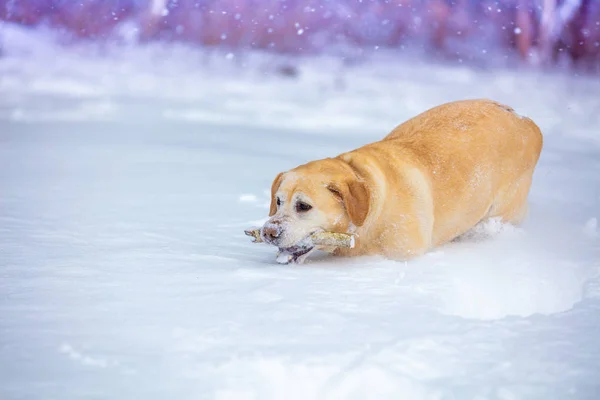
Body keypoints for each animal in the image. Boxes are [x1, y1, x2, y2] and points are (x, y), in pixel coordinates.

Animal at [260, 99, 540, 264]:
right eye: (278, 201)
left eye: (303, 206)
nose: (268, 232)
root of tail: (524, 118)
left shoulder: (404, 253)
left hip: (505, 211)